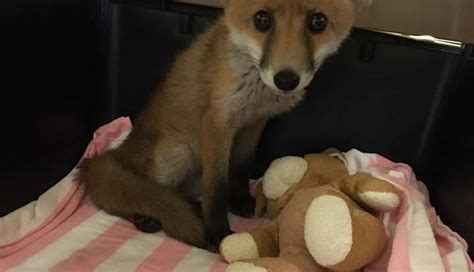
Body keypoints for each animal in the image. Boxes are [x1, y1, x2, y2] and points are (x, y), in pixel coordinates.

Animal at [78, 0, 360, 251]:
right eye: (262, 19)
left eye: (317, 21)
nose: (286, 80)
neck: (256, 91)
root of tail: (115, 151)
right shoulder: (218, 121)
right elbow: (216, 188)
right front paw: (217, 232)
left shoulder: (254, 123)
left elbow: (240, 166)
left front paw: (240, 201)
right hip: (176, 154)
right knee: (142, 192)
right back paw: (146, 216)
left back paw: (190, 206)